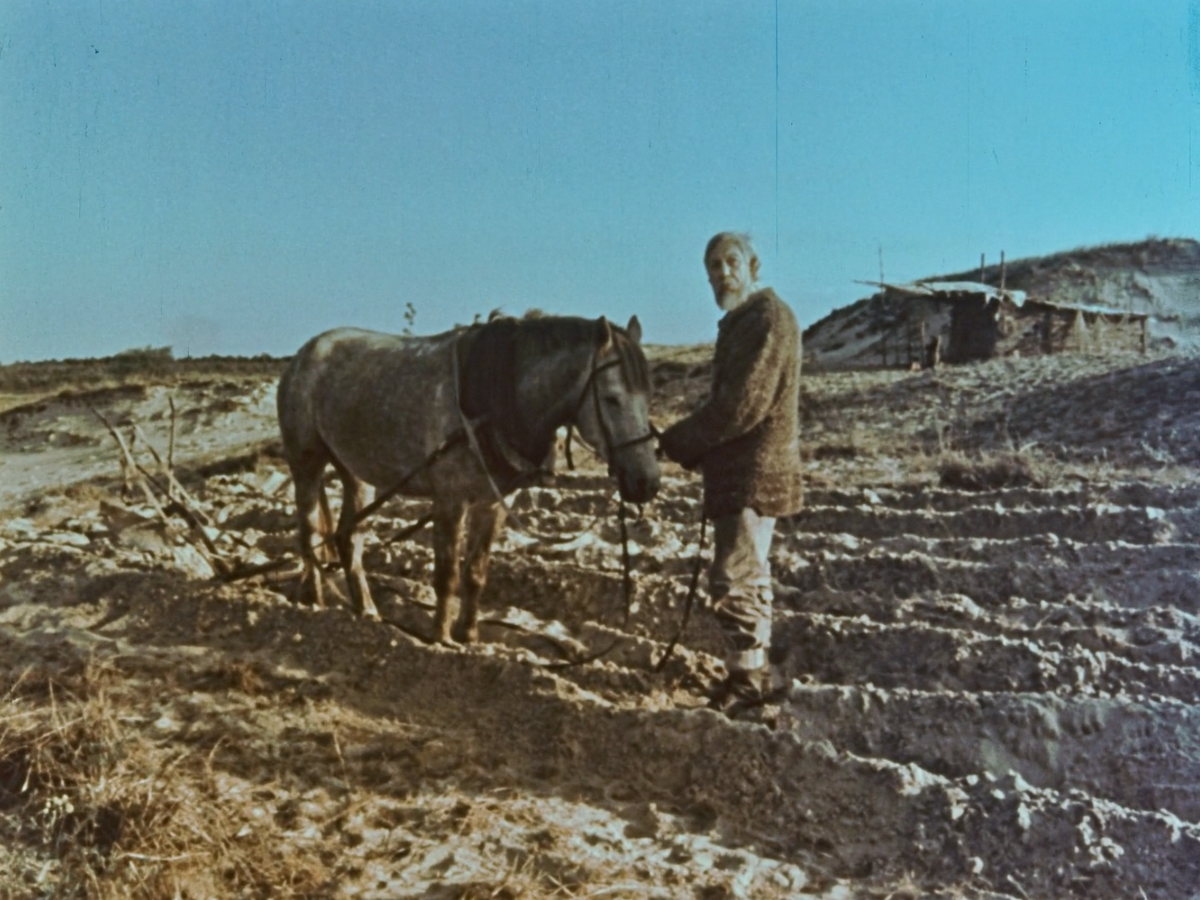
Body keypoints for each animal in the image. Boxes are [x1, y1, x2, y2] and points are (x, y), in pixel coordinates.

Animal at [276, 314, 662, 643]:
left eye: (648, 397)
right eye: (611, 398)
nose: (646, 482)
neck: (492, 402)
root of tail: (305, 353)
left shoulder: (493, 502)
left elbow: (475, 572)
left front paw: (469, 636)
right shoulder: (450, 498)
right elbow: (446, 572)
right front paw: (439, 638)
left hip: (356, 472)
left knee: (348, 537)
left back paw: (366, 610)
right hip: (305, 461)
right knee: (309, 532)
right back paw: (314, 599)